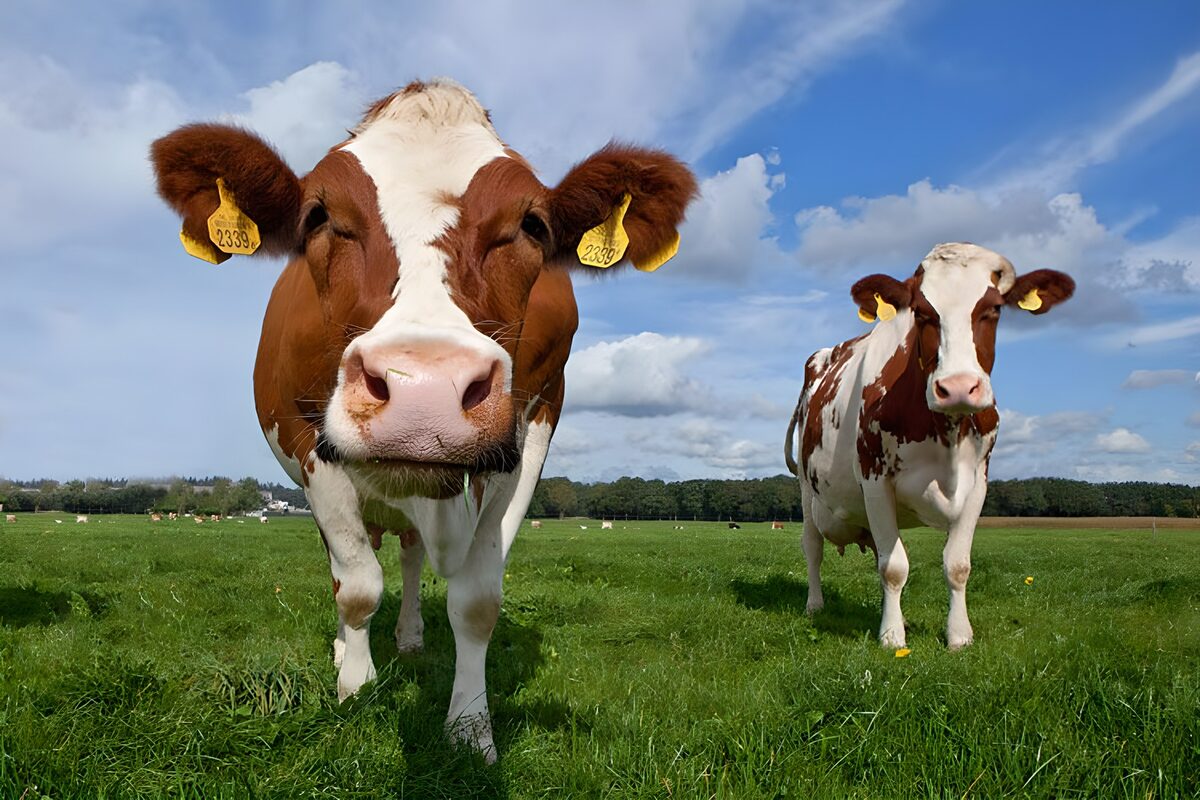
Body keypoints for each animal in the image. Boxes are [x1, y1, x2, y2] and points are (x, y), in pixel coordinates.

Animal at [151, 78, 696, 761]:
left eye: (531, 224)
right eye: (318, 216)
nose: (424, 392)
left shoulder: (527, 438)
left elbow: (477, 601)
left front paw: (469, 730)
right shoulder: (308, 443)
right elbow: (356, 584)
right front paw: (355, 691)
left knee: (409, 556)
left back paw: (410, 638)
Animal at [785, 243, 1073, 651]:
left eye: (994, 309)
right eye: (921, 311)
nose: (958, 387)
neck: (946, 433)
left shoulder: (978, 483)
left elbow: (957, 565)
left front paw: (959, 635)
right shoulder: (875, 479)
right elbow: (893, 567)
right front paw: (892, 637)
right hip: (808, 489)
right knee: (813, 546)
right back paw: (815, 605)